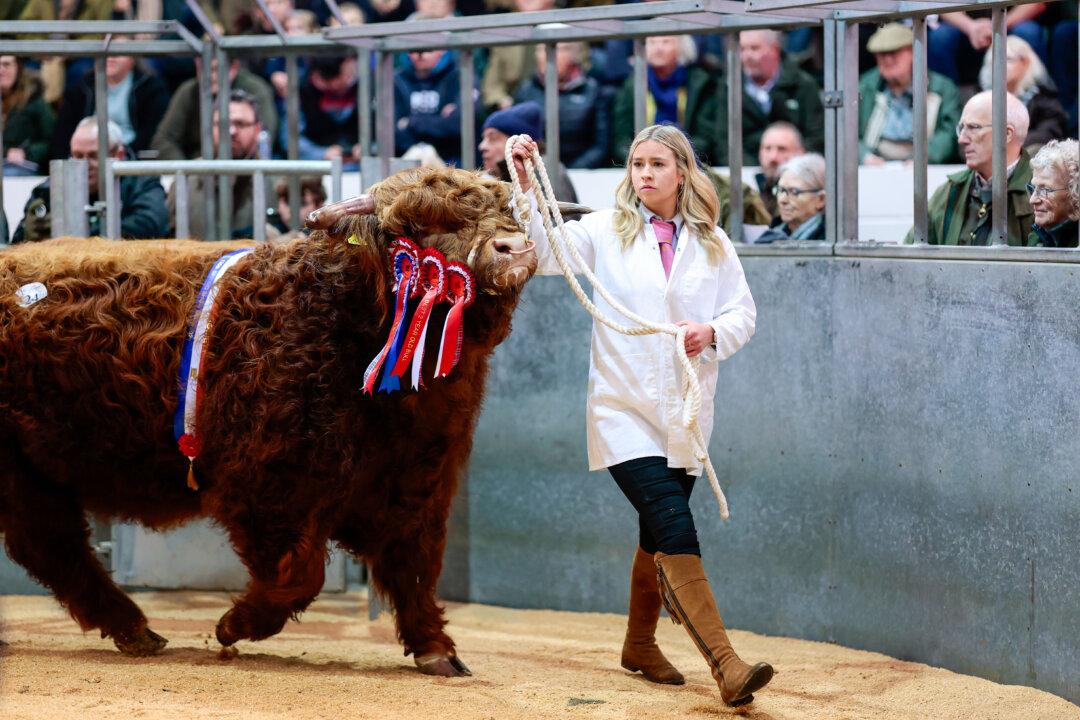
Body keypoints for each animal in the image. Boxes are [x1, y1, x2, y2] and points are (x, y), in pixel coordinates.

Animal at [0, 167, 546, 677]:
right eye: (423, 222)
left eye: (507, 212)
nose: (514, 247)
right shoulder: (266, 484)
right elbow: (299, 575)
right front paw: (234, 625)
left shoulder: (419, 481)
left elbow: (413, 569)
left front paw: (436, 650)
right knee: (52, 546)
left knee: (52, 549)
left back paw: (133, 631)